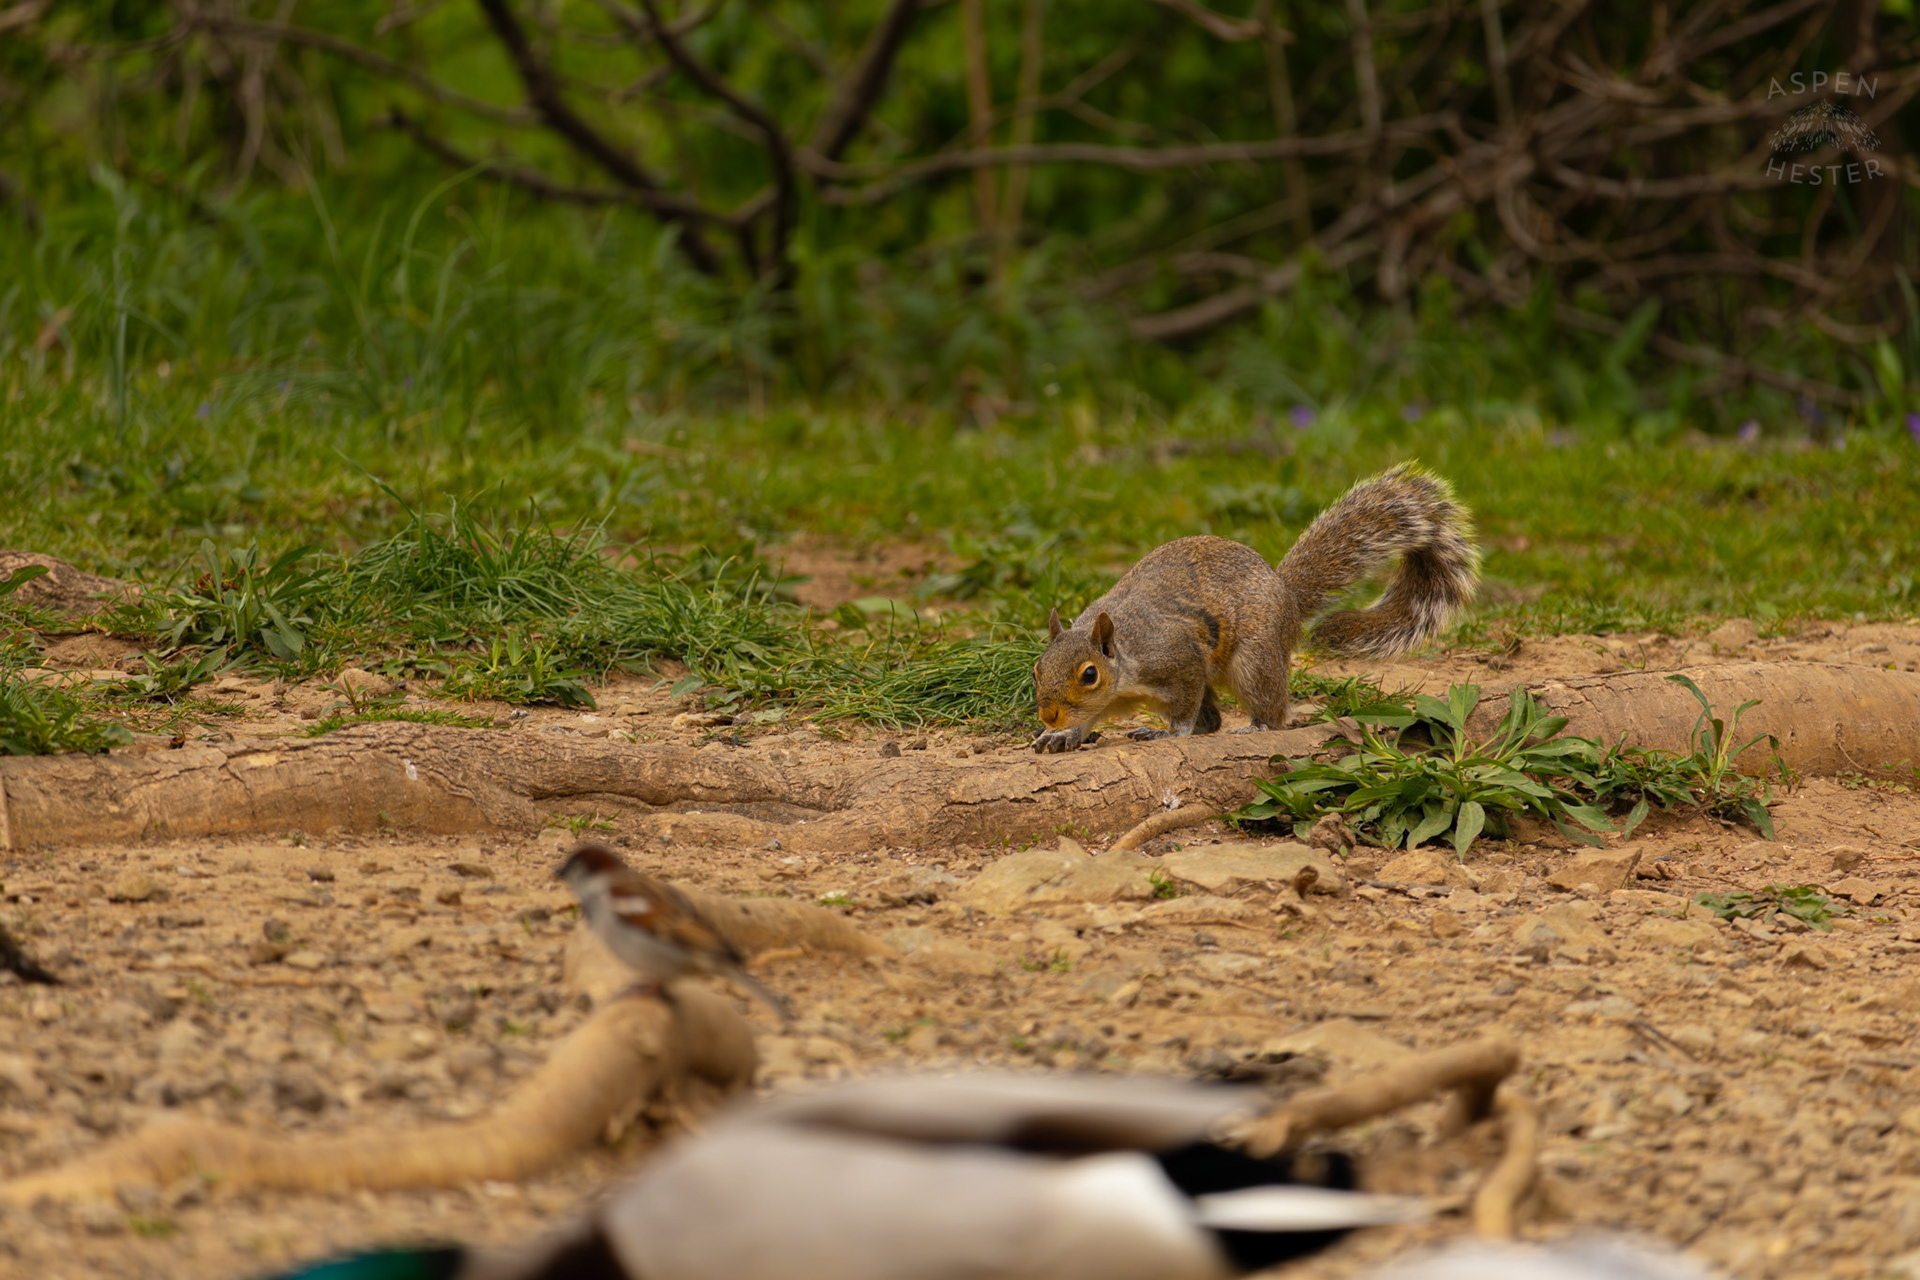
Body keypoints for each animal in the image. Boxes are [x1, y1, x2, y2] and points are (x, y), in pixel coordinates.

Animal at [1031, 463, 1478, 753]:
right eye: (1037, 668)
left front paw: (1170, 733)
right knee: (1212, 720)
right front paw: (1063, 736)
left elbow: (1184, 712)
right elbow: (1089, 718)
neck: (1123, 668)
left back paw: (1256, 727)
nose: (1049, 715)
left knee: (1269, 710)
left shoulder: (1178, 658)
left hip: (1255, 661)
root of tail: (1287, 600)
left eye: (1089, 674)